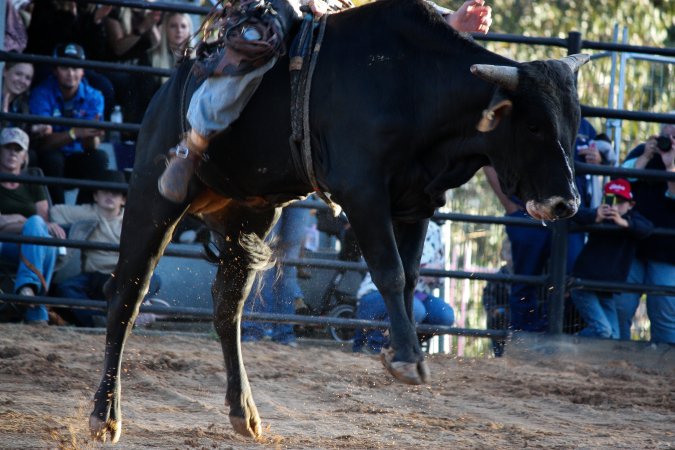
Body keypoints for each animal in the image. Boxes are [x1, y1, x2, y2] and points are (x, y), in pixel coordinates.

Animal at [89, 0, 586, 443]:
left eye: (574, 123)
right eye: (534, 126)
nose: (566, 203)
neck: (412, 82)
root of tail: (165, 93)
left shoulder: (416, 202)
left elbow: (408, 277)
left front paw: (395, 347)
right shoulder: (362, 191)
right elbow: (388, 270)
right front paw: (407, 358)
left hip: (249, 212)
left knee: (227, 305)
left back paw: (244, 413)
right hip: (152, 198)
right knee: (127, 295)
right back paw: (105, 417)